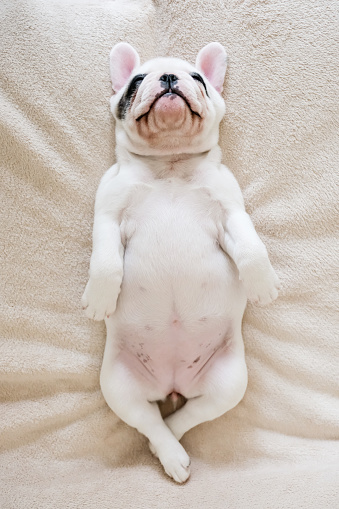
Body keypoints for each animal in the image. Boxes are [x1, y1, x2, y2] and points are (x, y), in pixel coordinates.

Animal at [82, 42, 282, 480]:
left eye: (198, 78)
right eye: (138, 80)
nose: (169, 78)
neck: (168, 164)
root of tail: (172, 384)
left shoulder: (231, 212)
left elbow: (251, 246)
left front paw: (262, 284)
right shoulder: (108, 215)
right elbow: (105, 260)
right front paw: (101, 297)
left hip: (229, 381)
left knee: (190, 414)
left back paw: (172, 444)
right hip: (118, 384)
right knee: (147, 419)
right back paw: (170, 453)